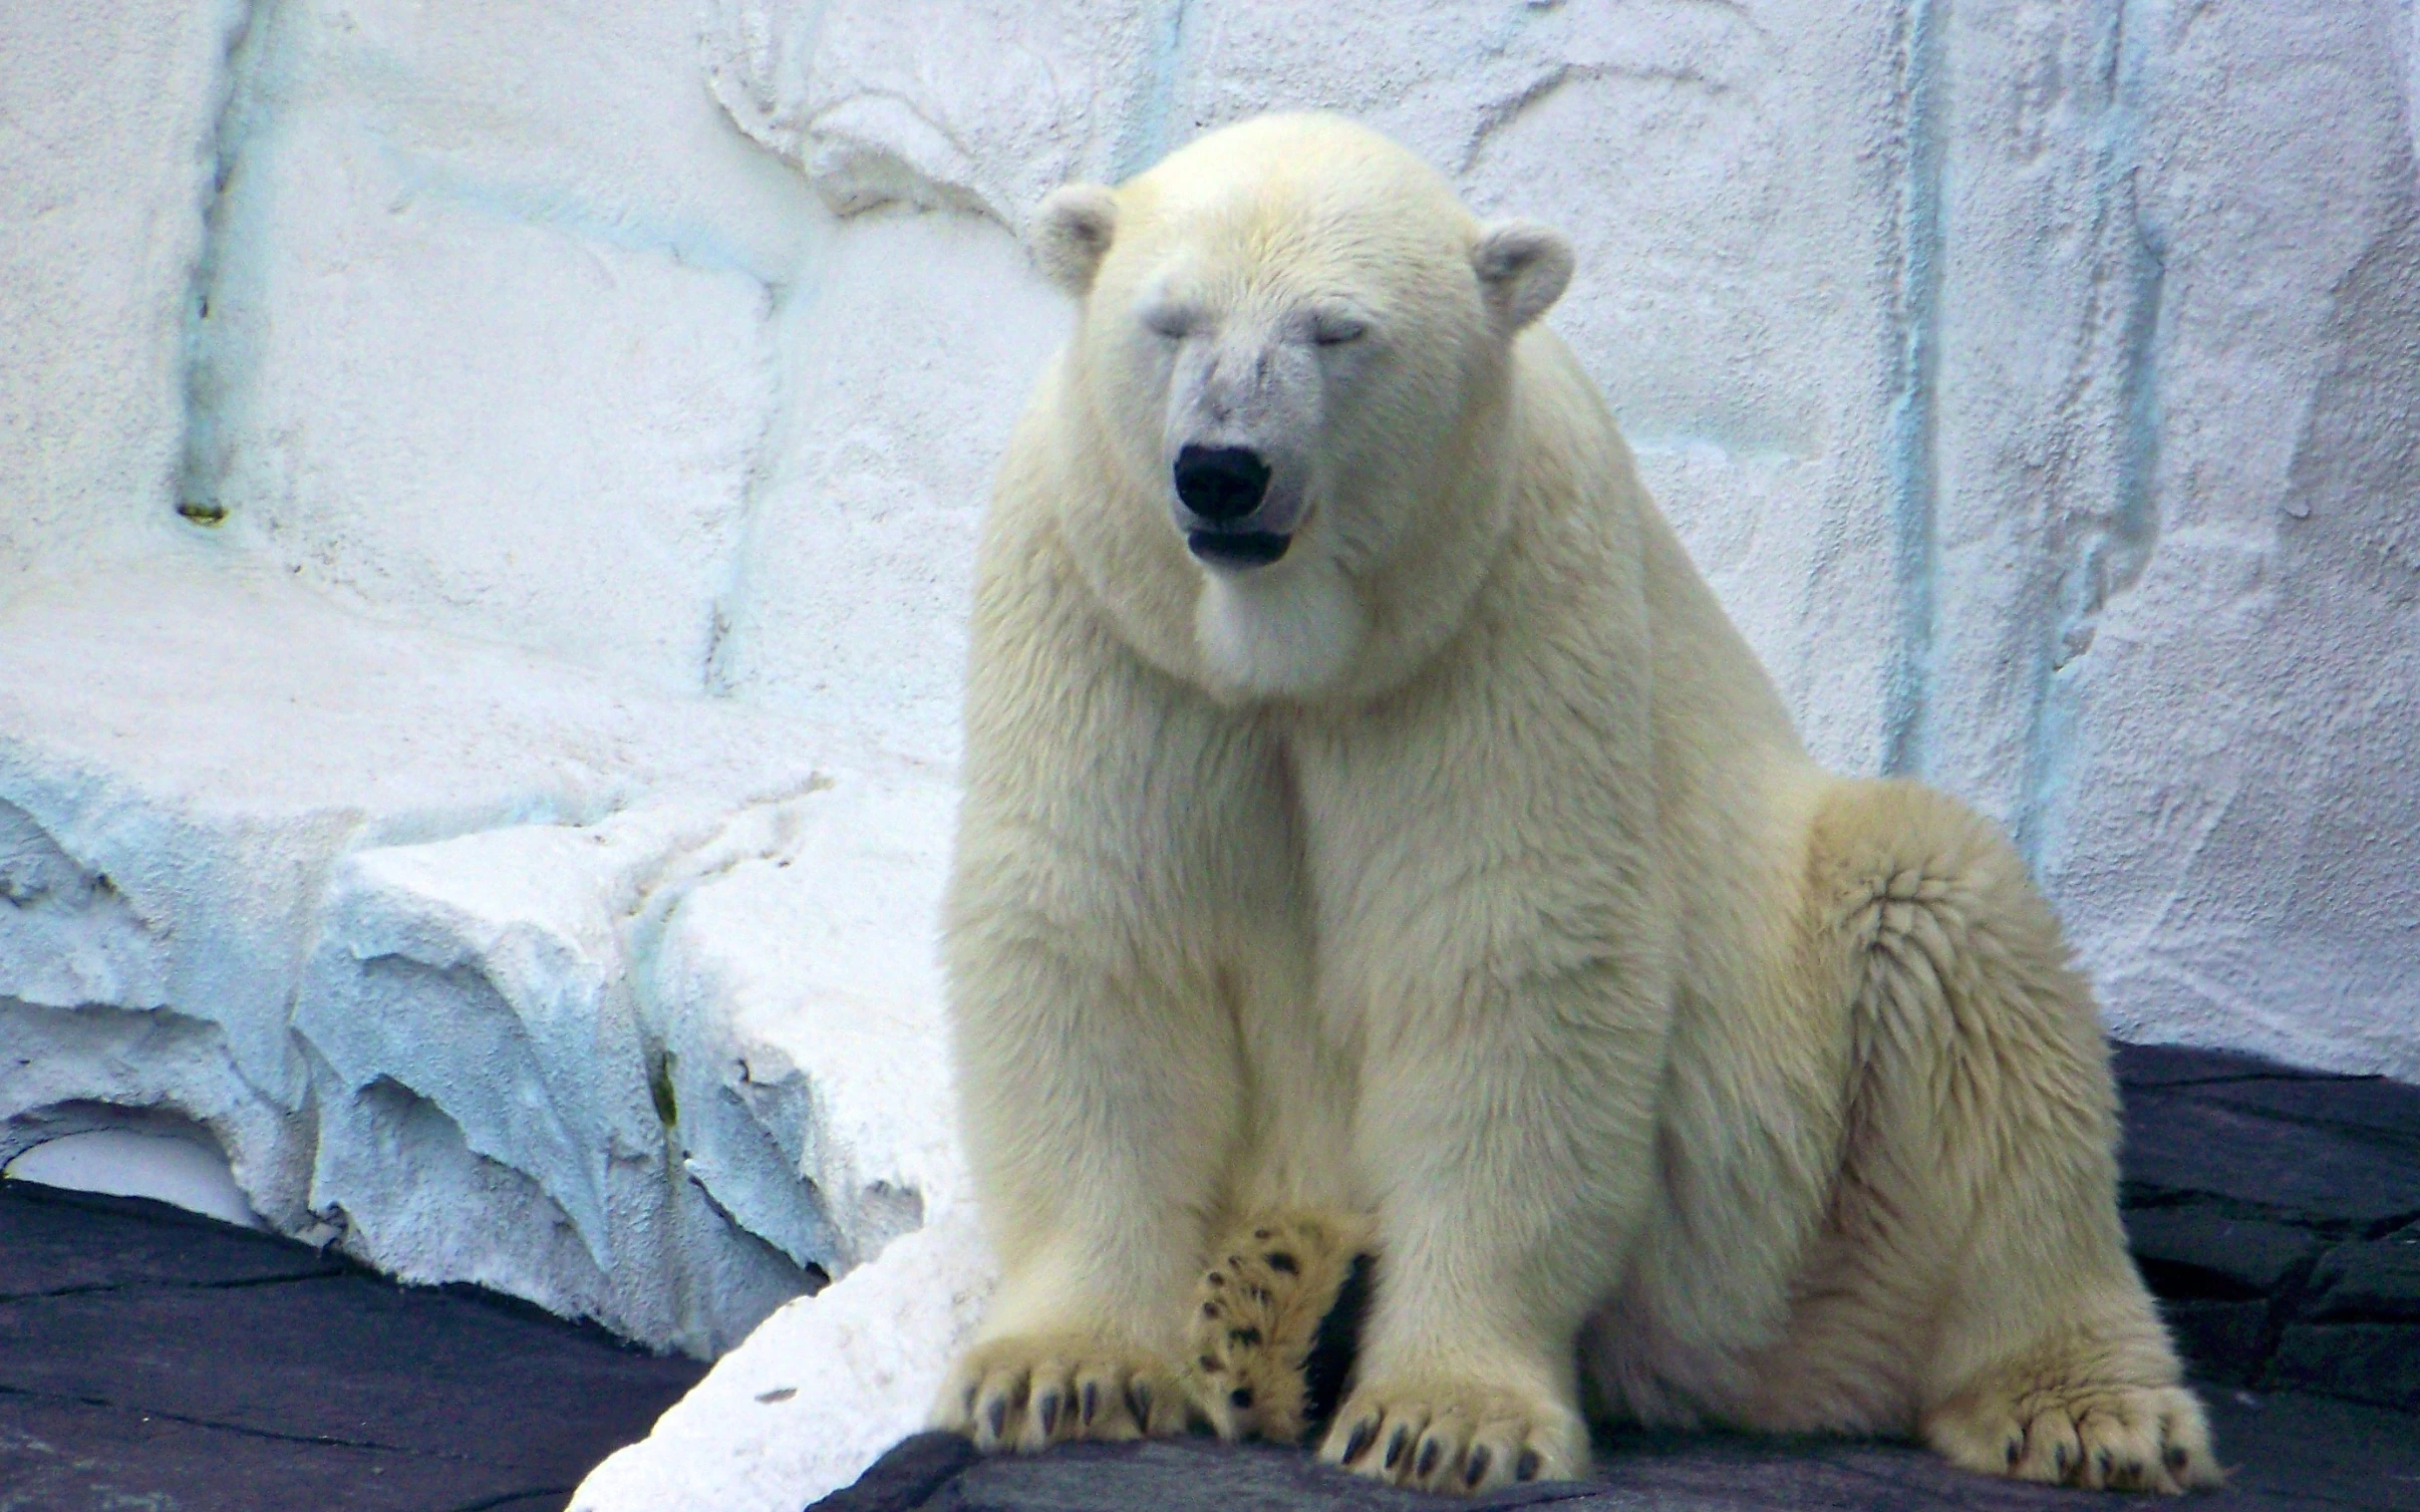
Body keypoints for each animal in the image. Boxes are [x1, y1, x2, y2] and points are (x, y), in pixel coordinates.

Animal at [924, 112, 2217, 1490]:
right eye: (1169, 319)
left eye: (1338, 328)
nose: (1222, 470)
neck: (1291, 654)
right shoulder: (1108, 604)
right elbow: (1098, 931)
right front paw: (1061, 1370)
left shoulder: (1503, 605)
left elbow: (1505, 956)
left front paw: (1439, 1416)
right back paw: (1277, 1297)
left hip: (1800, 1160)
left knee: (1960, 961)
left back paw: (2082, 1407)